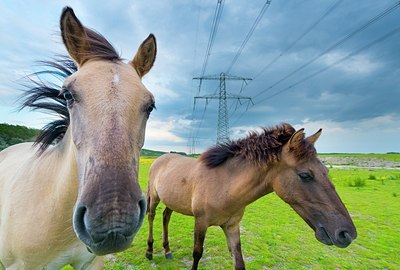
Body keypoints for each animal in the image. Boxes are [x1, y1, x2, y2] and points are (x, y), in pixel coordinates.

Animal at [145, 124, 358, 270]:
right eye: (305, 175)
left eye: (326, 171)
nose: (346, 233)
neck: (223, 185)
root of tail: (161, 158)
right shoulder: (201, 222)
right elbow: (197, 254)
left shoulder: (232, 226)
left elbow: (238, 260)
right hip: (154, 199)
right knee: (152, 216)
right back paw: (150, 251)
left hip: (172, 202)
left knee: (165, 217)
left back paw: (167, 251)